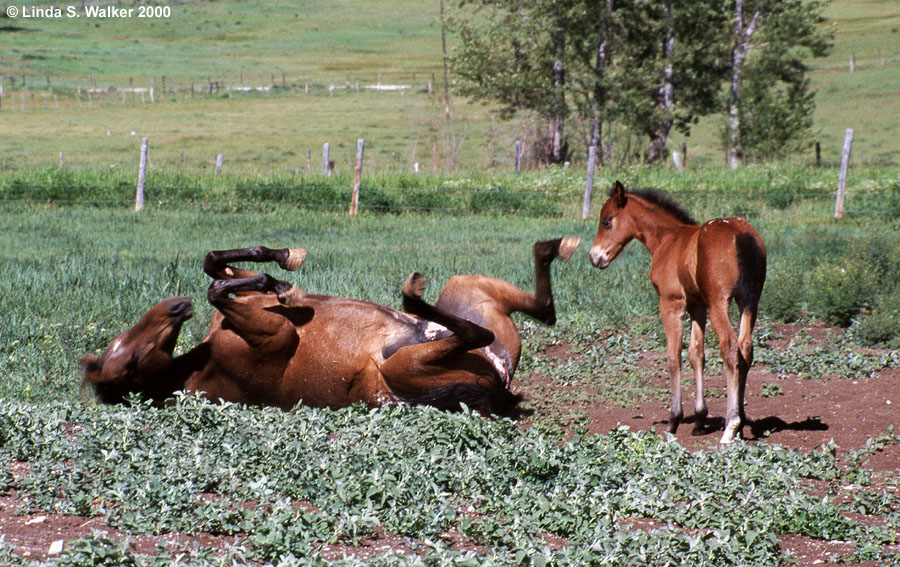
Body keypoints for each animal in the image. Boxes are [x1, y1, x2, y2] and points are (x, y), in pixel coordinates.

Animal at [81, 237, 580, 414]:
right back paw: (411, 295)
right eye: (132, 361)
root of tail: (500, 380)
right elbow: (217, 287)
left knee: (542, 309)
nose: (174, 308)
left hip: (467, 288)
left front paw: (281, 270)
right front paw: (281, 283)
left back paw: (556, 245)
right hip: (407, 364)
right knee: (482, 331)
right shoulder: (275, 335)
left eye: (126, 345)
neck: (199, 365)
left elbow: (214, 266)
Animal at [592, 182, 768, 444]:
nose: (594, 258)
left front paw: (673, 419)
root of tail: (742, 235)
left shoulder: (671, 303)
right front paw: (699, 420)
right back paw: (741, 423)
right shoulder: (697, 306)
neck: (667, 240)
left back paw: (730, 426)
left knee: (729, 348)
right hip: (749, 302)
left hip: (719, 304)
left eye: (606, 221)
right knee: (745, 347)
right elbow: (696, 354)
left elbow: (673, 355)